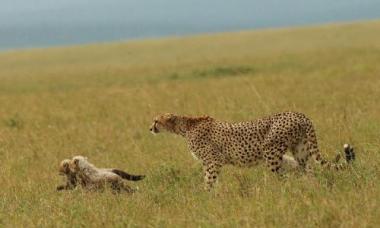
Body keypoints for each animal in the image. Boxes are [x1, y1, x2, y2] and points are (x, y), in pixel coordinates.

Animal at [150, 111, 354, 190]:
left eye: (156, 121)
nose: (150, 128)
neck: (184, 127)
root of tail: (298, 114)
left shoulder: (213, 161)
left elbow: (208, 180)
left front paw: (205, 196)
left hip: (271, 152)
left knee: (283, 176)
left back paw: (285, 191)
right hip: (299, 150)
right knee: (308, 169)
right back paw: (312, 187)